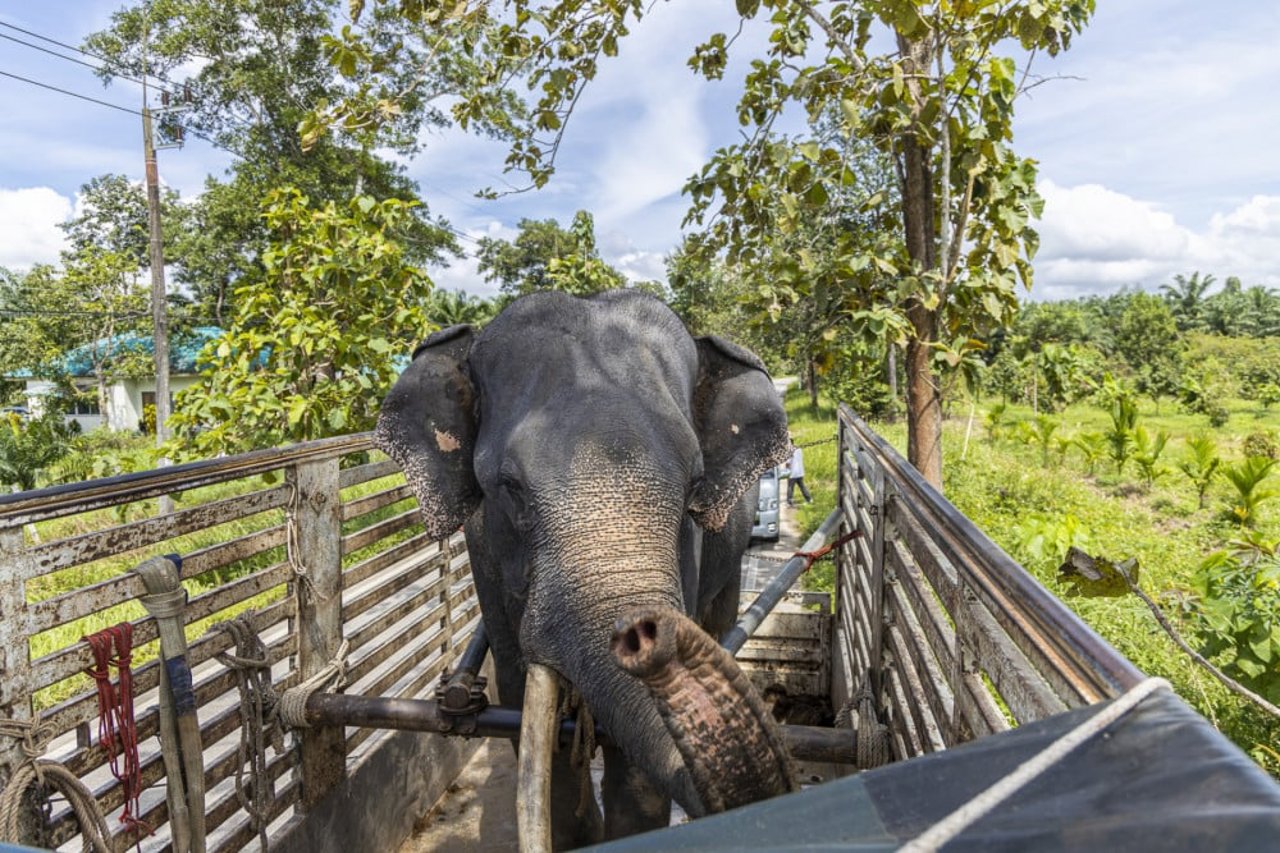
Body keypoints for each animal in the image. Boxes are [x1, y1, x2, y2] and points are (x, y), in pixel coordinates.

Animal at [378, 286, 793, 845]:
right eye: (509, 488)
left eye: (695, 484)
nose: (643, 633)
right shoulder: (486, 563)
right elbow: (526, 714)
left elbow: (634, 768)